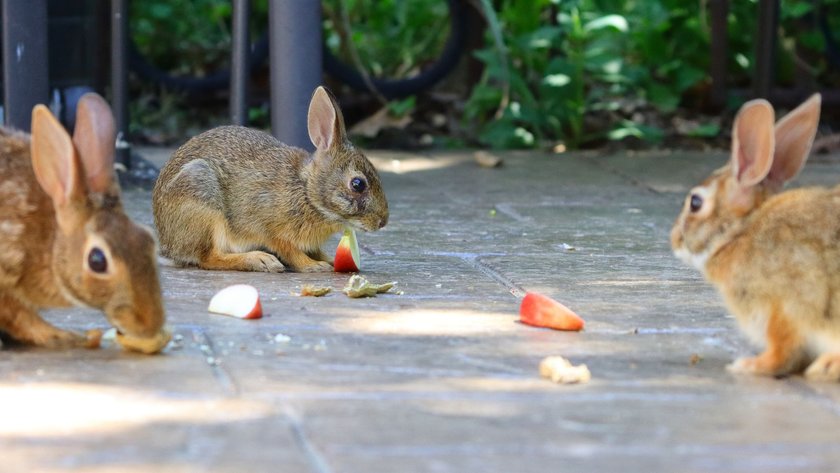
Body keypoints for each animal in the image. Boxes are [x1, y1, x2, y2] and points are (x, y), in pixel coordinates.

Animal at [0, 93, 169, 350]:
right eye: (97, 261)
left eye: (148, 240)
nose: (150, 323)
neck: (49, 244)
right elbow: (22, 319)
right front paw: (73, 337)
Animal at [154, 86, 390, 272]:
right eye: (357, 184)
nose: (383, 222)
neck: (307, 193)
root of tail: (168, 246)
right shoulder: (270, 228)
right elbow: (289, 249)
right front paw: (314, 266)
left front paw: (329, 260)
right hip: (201, 198)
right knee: (209, 257)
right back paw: (259, 260)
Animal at [668, 95, 840, 380]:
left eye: (695, 203)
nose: (674, 240)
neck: (741, 231)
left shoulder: (784, 306)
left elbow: (783, 351)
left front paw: (750, 366)